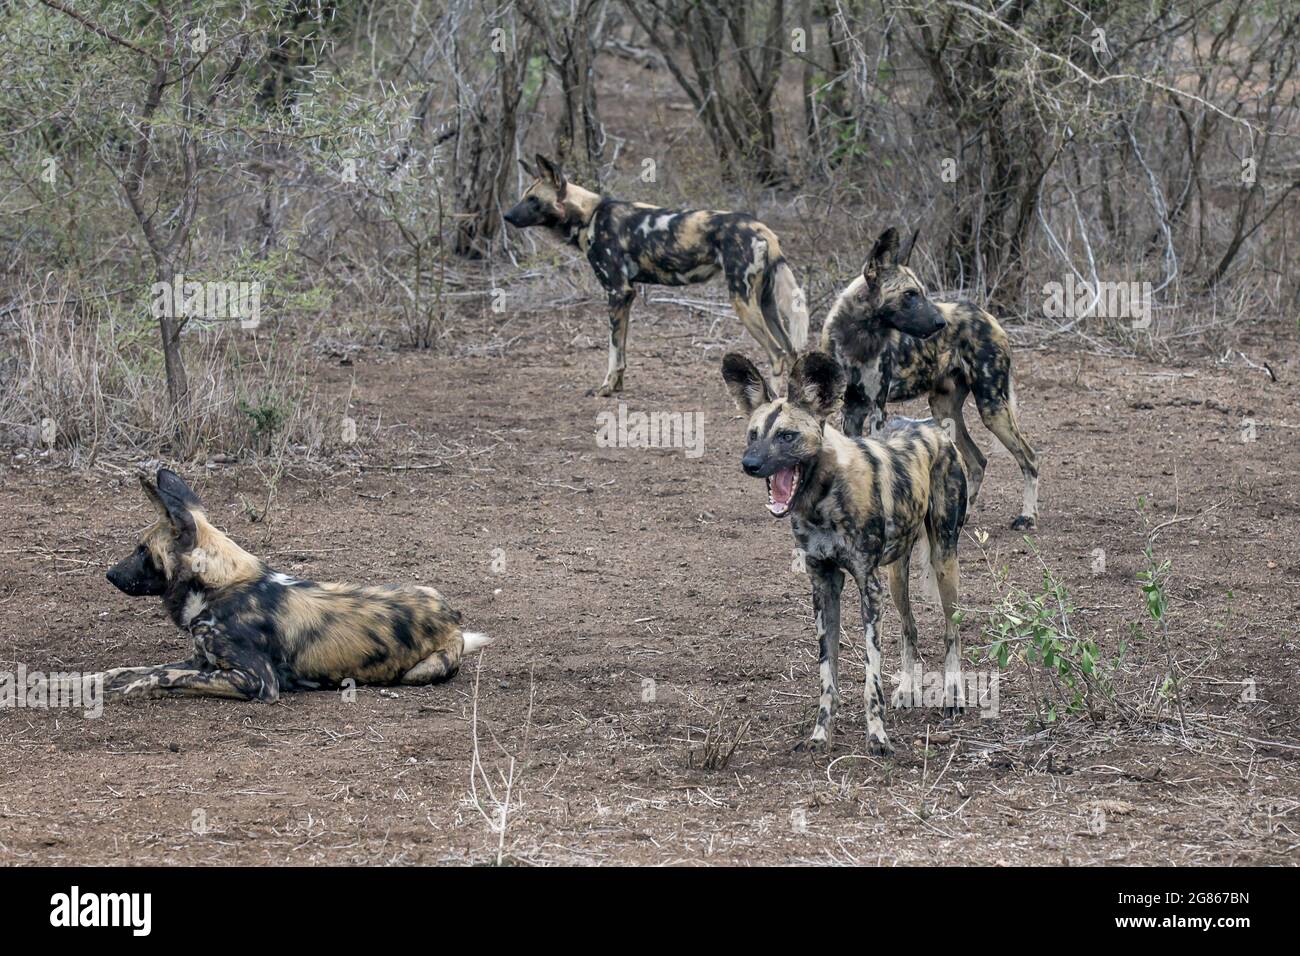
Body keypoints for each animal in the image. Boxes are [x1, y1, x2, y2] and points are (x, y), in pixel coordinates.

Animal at [98, 468, 488, 702]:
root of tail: (452, 618)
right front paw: (98, 679)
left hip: (420, 672)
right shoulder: (202, 660)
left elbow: (163, 677)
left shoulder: (257, 681)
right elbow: (140, 669)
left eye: (142, 549)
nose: (110, 575)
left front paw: (129, 689)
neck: (218, 586)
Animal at [501, 155, 806, 395]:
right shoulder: (626, 296)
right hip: (765, 304)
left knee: (777, 353)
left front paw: (606, 388)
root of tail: (762, 228)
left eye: (533, 199)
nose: (506, 216)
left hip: (741, 302)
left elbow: (613, 350)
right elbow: (621, 351)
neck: (589, 215)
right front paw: (617, 387)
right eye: (523, 196)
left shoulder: (617, 292)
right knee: (791, 351)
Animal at [722, 351, 967, 754]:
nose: (750, 465)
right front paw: (820, 734)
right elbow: (828, 674)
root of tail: (928, 425)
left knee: (952, 630)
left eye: (787, 436)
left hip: (944, 560)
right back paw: (907, 689)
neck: (821, 500)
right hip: (896, 577)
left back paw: (953, 695)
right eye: (753, 435)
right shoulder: (824, 585)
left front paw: (877, 737)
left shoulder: (868, 586)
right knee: (910, 627)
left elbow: (871, 679)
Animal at [821, 228, 1045, 535]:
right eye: (910, 294)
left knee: (1029, 458)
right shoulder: (851, 410)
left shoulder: (877, 408)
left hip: (992, 409)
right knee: (977, 461)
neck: (858, 337)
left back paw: (1027, 516)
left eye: (923, 293)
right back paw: (963, 515)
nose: (940, 324)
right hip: (944, 409)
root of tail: (987, 315)